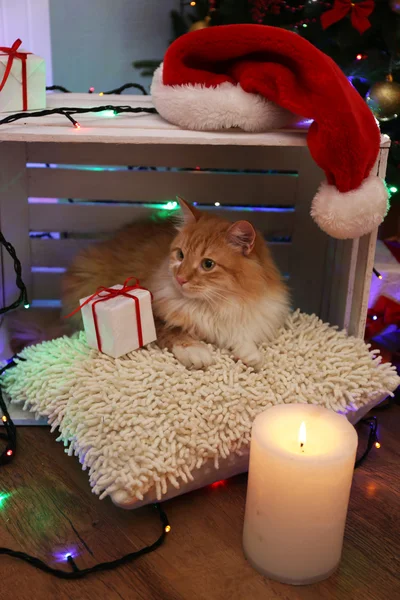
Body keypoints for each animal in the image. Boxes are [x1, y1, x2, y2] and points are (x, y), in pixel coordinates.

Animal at [61, 199, 288, 368]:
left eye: (208, 264)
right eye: (180, 255)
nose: (180, 278)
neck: (215, 304)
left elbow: (242, 337)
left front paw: (250, 354)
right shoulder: (154, 316)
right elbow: (174, 332)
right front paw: (196, 351)